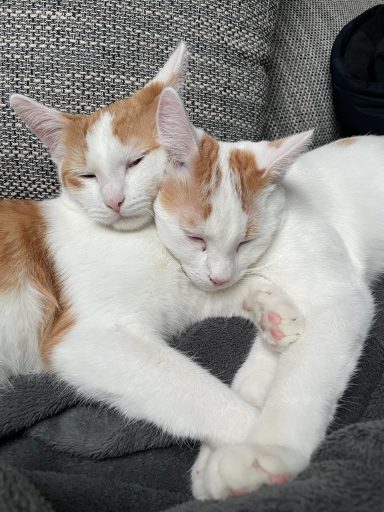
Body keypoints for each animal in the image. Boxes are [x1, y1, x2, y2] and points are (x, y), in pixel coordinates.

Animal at [154, 88, 382, 500]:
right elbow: (256, 372)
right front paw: (213, 460)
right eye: (195, 238)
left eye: (246, 241)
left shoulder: (340, 300)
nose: (219, 278)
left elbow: (302, 379)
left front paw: (266, 451)